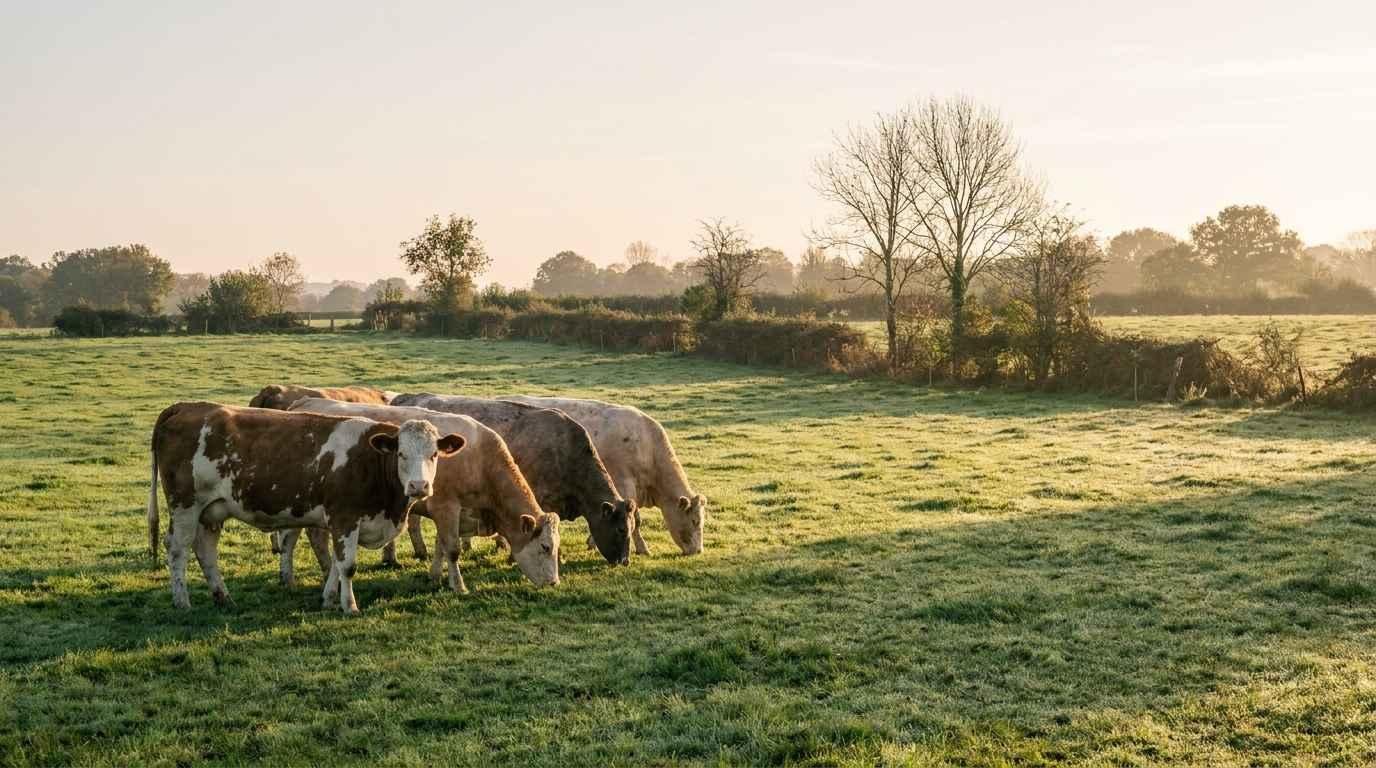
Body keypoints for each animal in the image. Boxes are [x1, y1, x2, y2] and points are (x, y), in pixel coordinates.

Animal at [147, 402, 464, 614]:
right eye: (401, 453)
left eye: (434, 454)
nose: (419, 486)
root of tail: (186, 406)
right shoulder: (345, 517)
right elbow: (347, 565)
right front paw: (349, 606)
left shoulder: (343, 524)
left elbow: (336, 563)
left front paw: (328, 599)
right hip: (186, 505)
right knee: (177, 548)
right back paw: (182, 601)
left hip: (212, 510)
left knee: (205, 550)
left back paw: (223, 597)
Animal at [282, 398, 560, 592]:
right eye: (545, 547)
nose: (554, 582)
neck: (479, 459)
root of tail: (303, 403)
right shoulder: (446, 507)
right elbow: (452, 549)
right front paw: (458, 586)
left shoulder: (452, 514)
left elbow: (441, 545)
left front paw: (435, 576)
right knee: (300, 538)